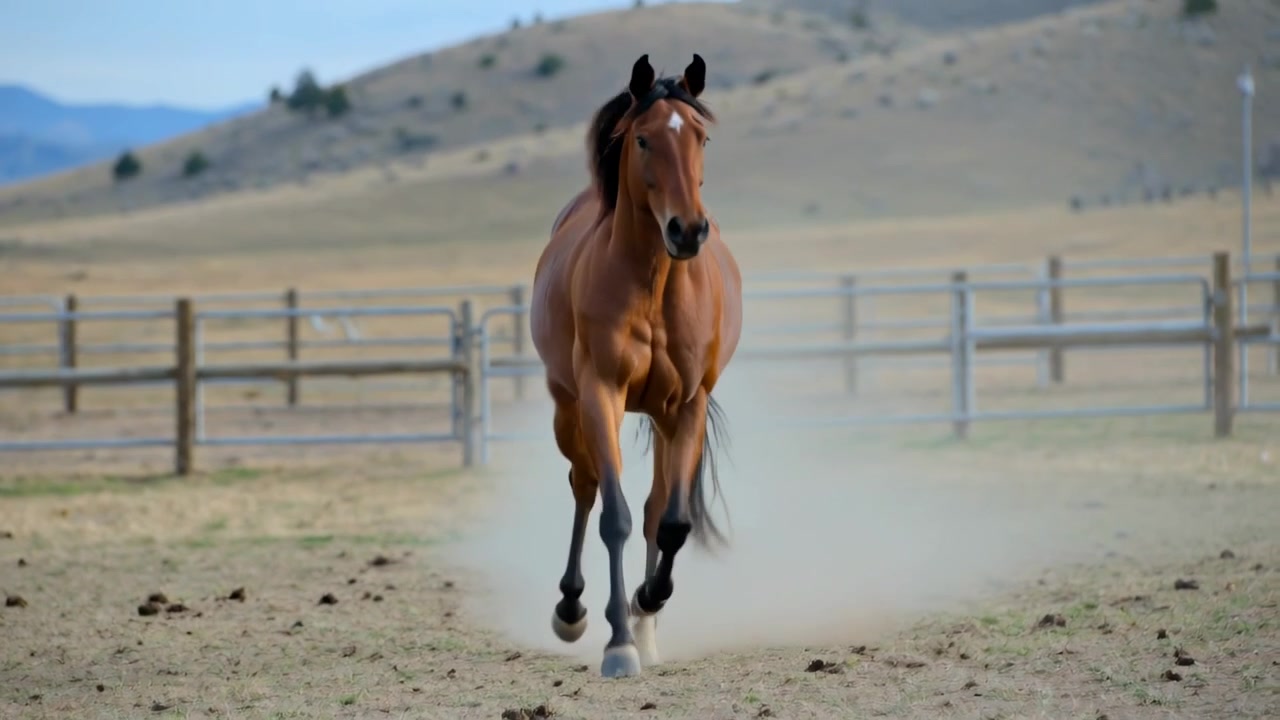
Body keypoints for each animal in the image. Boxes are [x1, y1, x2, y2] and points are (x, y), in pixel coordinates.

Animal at [528, 52, 743, 678]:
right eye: (643, 139)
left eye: (701, 137)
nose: (687, 230)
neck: (652, 283)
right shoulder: (601, 394)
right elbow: (614, 518)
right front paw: (618, 641)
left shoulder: (688, 403)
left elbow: (669, 522)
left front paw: (647, 603)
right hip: (570, 410)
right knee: (585, 487)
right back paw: (573, 610)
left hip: (665, 419)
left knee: (653, 508)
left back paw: (646, 624)